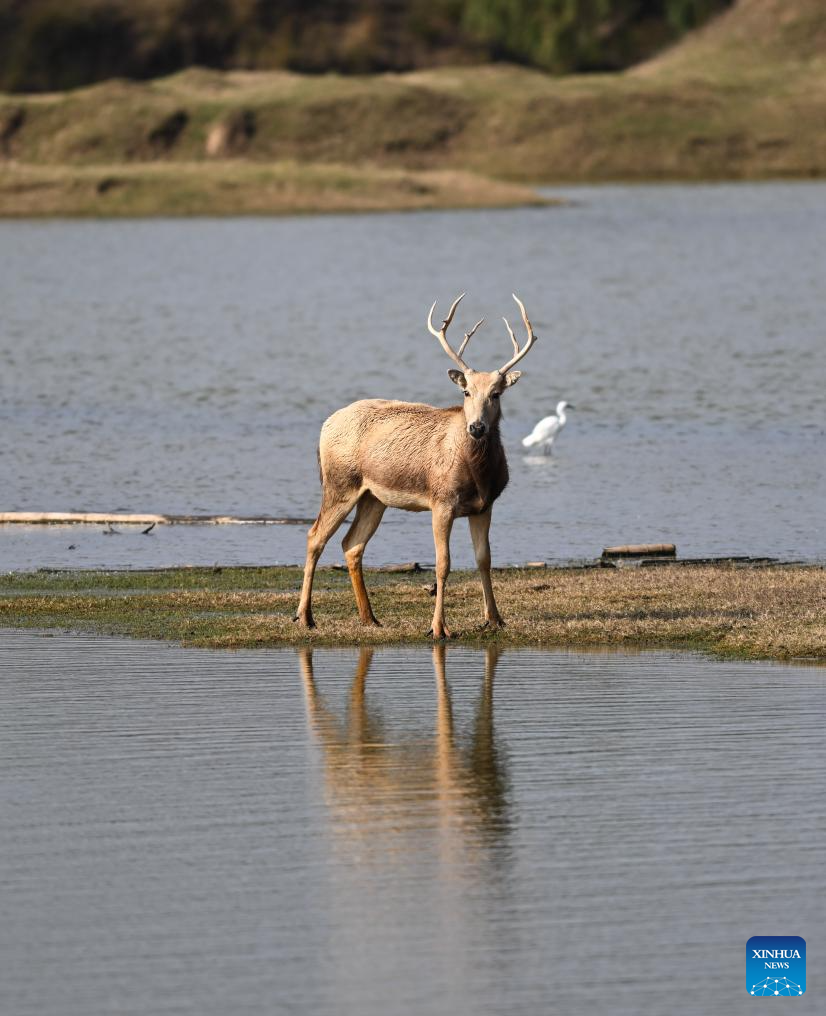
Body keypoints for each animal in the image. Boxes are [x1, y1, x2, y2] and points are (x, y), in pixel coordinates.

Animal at [292, 292, 536, 633]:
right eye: (466, 391)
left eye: (497, 394)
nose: (476, 427)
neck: (477, 474)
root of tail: (325, 426)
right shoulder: (441, 500)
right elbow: (443, 564)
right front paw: (438, 627)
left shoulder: (485, 505)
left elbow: (484, 559)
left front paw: (495, 619)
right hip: (340, 483)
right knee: (314, 536)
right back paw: (305, 616)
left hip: (373, 497)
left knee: (352, 544)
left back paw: (369, 617)